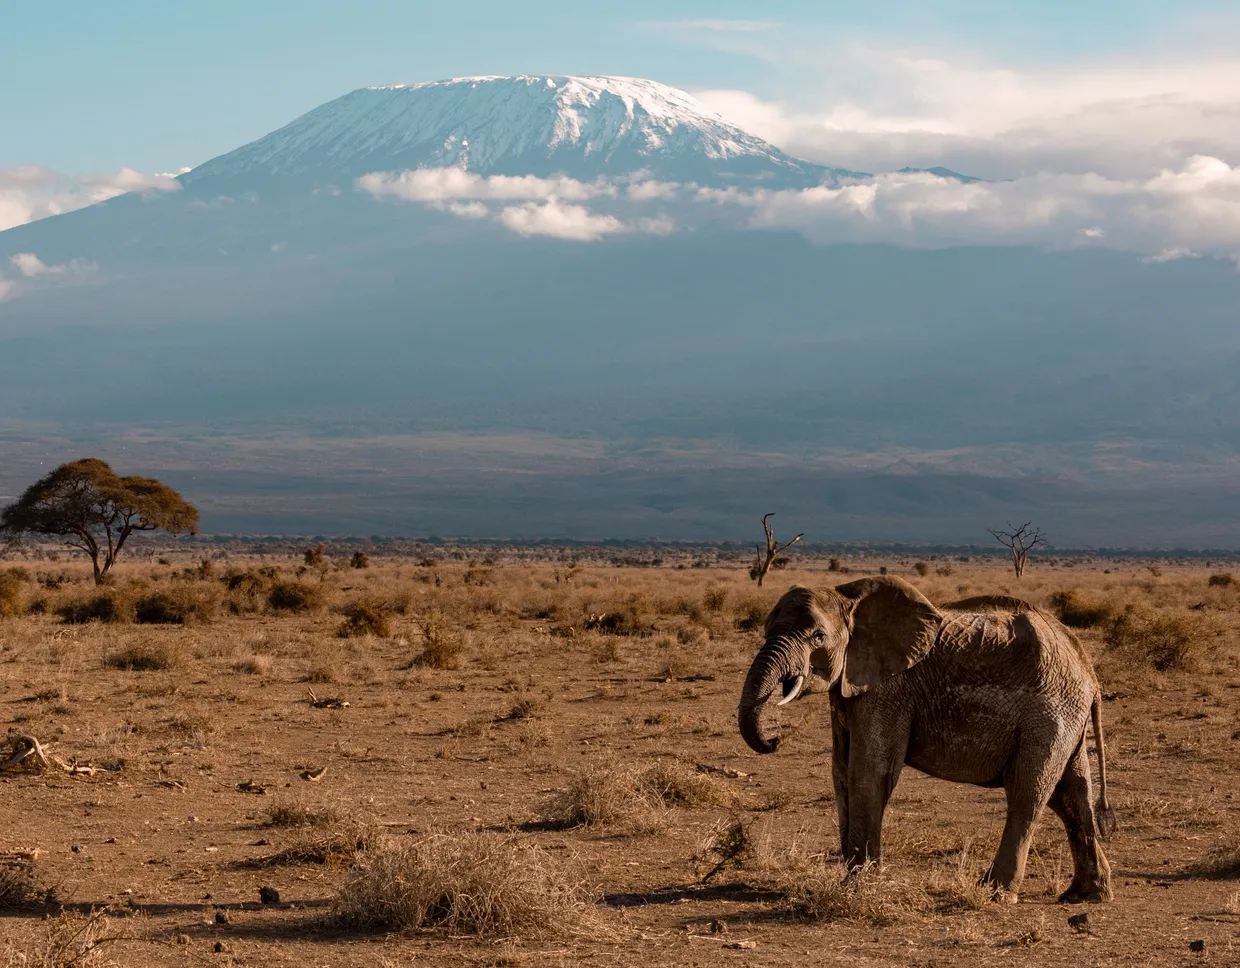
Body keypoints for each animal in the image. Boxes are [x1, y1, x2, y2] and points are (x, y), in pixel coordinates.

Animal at [736, 575, 1116, 903]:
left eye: (817, 636)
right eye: (767, 629)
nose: (775, 739)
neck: (850, 600)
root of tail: (1088, 670)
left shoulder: (889, 689)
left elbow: (869, 771)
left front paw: (857, 885)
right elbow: (841, 772)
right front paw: (853, 877)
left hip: (1049, 713)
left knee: (1029, 791)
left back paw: (995, 893)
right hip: (1066, 715)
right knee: (1072, 794)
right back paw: (1085, 895)